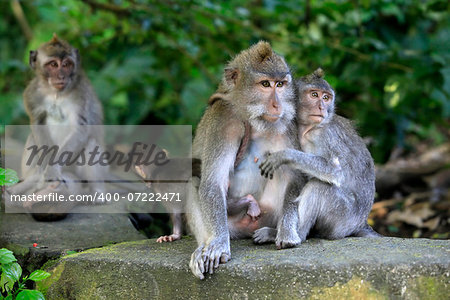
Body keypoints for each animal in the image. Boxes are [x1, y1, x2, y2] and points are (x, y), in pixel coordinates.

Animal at [188, 41, 304, 278]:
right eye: (265, 84)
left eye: (280, 84)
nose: (277, 105)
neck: (253, 120)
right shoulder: (222, 120)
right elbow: (213, 181)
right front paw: (218, 244)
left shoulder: (287, 125)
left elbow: (295, 175)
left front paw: (287, 232)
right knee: (195, 177)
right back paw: (203, 246)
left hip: (267, 213)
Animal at [256, 68, 380, 244]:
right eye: (314, 94)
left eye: (326, 97)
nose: (322, 107)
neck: (308, 129)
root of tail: (361, 223)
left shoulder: (325, 135)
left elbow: (335, 171)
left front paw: (284, 155)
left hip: (344, 219)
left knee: (318, 187)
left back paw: (294, 235)